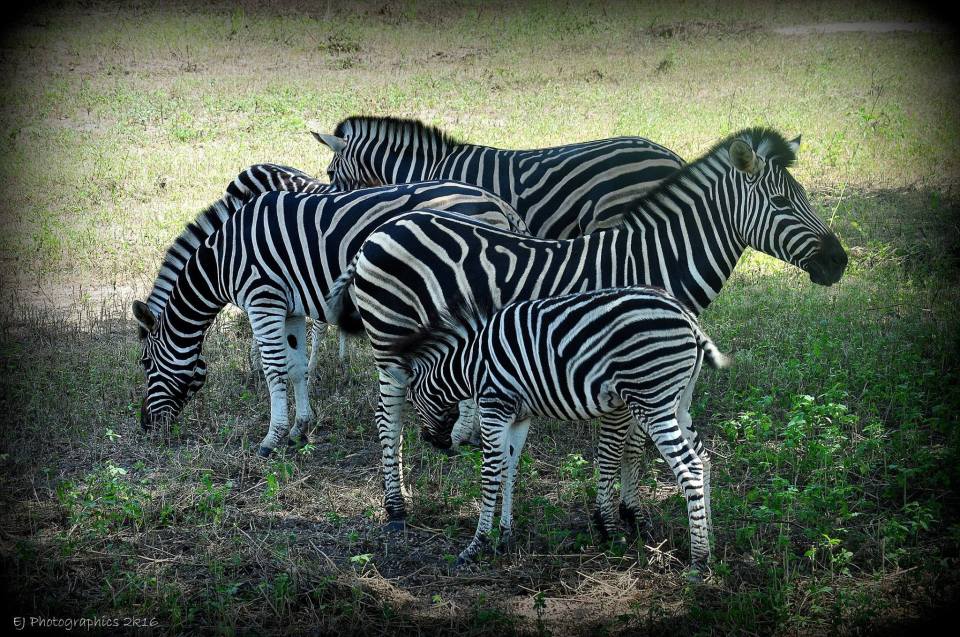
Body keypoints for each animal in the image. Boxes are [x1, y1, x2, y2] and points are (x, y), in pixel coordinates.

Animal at [132, 181, 524, 456]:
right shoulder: (289, 309)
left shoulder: (263, 299)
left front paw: (271, 438)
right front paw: (299, 429)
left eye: (146, 363)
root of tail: (497, 202)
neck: (223, 259)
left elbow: (273, 370)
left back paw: (461, 435)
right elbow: (296, 367)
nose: (146, 426)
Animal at [324, 127, 848, 530]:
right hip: (389, 340)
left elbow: (633, 444)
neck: (651, 261)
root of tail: (381, 232)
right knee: (388, 418)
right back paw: (395, 510)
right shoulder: (623, 364)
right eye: (781, 201)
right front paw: (609, 518)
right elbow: (618, 445)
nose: (839, 263)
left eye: (803, 196)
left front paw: (630, 513)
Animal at [387, 287, 731, 572]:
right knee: (705, 460)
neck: (471, 364)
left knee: (690, 468)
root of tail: (686, 315)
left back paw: (699, 562)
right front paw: (505, 536)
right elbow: (511, 469)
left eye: (411, 401)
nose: (434, 442)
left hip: (652, 402)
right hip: (679, 403)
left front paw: (476, 546)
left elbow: (490, 476)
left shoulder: (495, 407)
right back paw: (711, 539)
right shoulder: (519, 416)